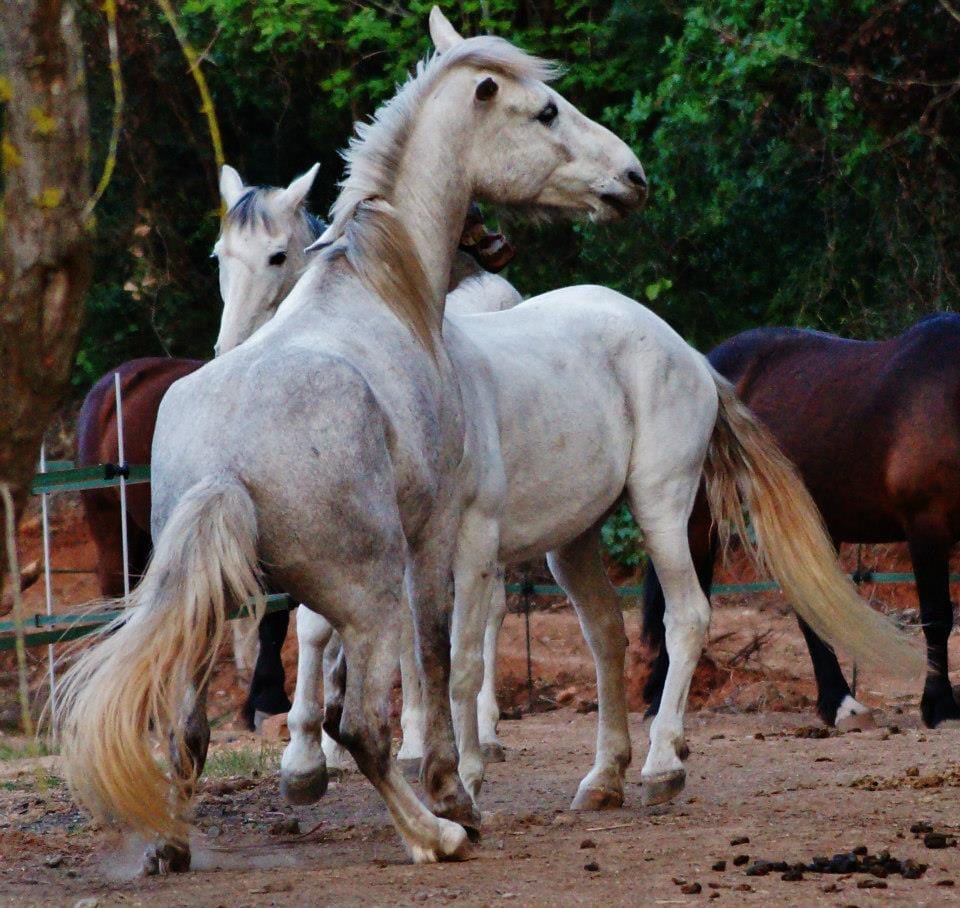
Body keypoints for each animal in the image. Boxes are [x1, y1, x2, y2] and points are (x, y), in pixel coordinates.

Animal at [55, 12, 648, 870]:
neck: (382, 286)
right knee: (361, 723)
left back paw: (171, 845)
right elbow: (433, 664)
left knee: (187, 727)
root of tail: (224, 465)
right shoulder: (433, 542)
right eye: (546, 111)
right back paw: (434, 834)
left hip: (203, 609)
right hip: (364, 598)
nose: (632, 177)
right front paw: (453, 793)